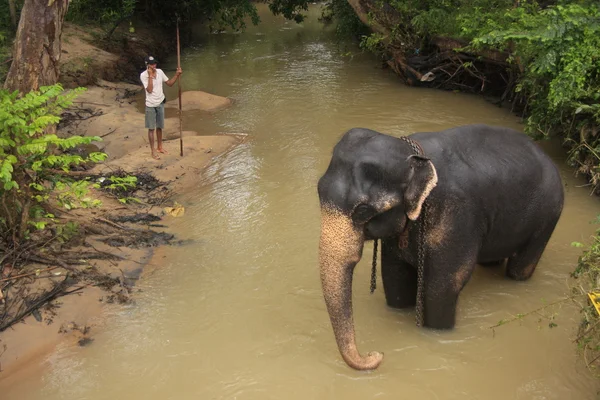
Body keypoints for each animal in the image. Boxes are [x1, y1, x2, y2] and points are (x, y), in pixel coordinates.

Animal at [316, 123, 564, 370]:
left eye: (363, 211)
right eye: (318, 191)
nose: (376, 354)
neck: (416, 158)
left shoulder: (457, 218)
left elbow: (442, 286)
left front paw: (438, 333)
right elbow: (395, 276)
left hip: (548, 216)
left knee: (521, 266)